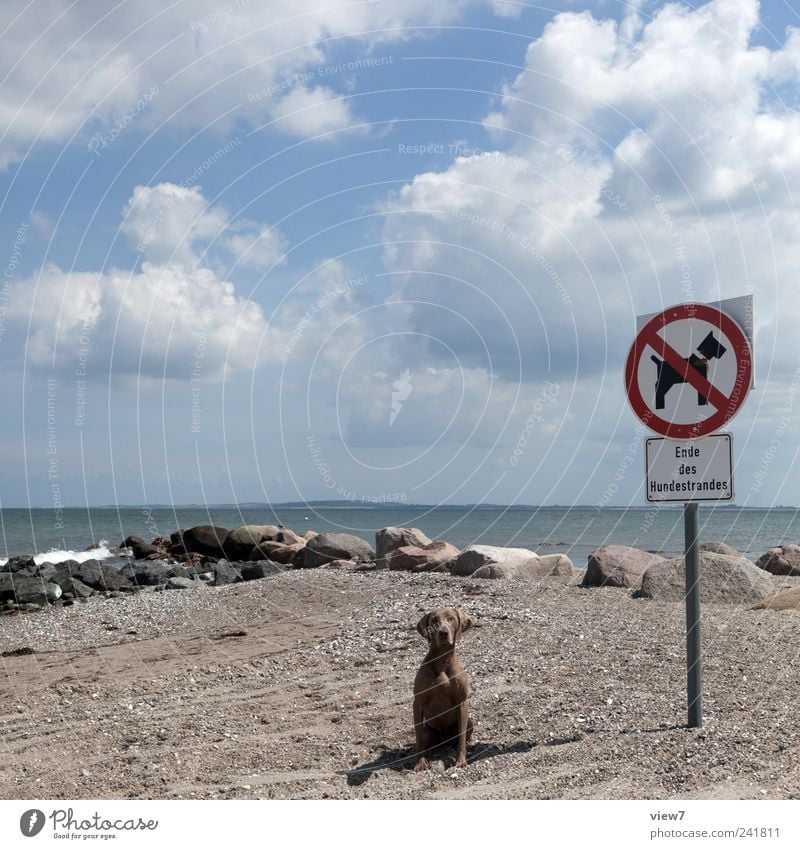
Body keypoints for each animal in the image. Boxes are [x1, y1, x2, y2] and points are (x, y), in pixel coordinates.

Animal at [412, 604, 476, 768]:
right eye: (434, 620)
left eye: (451, 619)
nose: (443, 633)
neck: (442, 660)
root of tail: (444, 740)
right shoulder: (418, 703)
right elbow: (418, 738)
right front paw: (420, 763)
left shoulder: (462, 701)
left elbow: (461, 739)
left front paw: (460, 761)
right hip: (429, 731)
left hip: (469, 723)